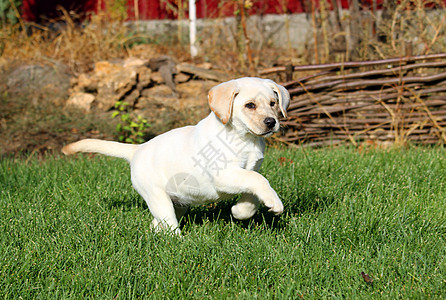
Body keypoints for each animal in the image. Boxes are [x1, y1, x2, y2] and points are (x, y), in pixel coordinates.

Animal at [63, 77, 292, 234]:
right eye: (250, 105)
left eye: (273, 103)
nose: (271, 122)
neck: (244, 138)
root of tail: (137, 149)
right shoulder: (223, 175)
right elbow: (258, 180)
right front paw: (275, 203)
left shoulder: (248, 170)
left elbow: (253, 190)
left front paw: (241, 211)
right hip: (158, 198)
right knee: (169, 227)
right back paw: (179, 242)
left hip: (178, 203)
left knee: (158, 224)